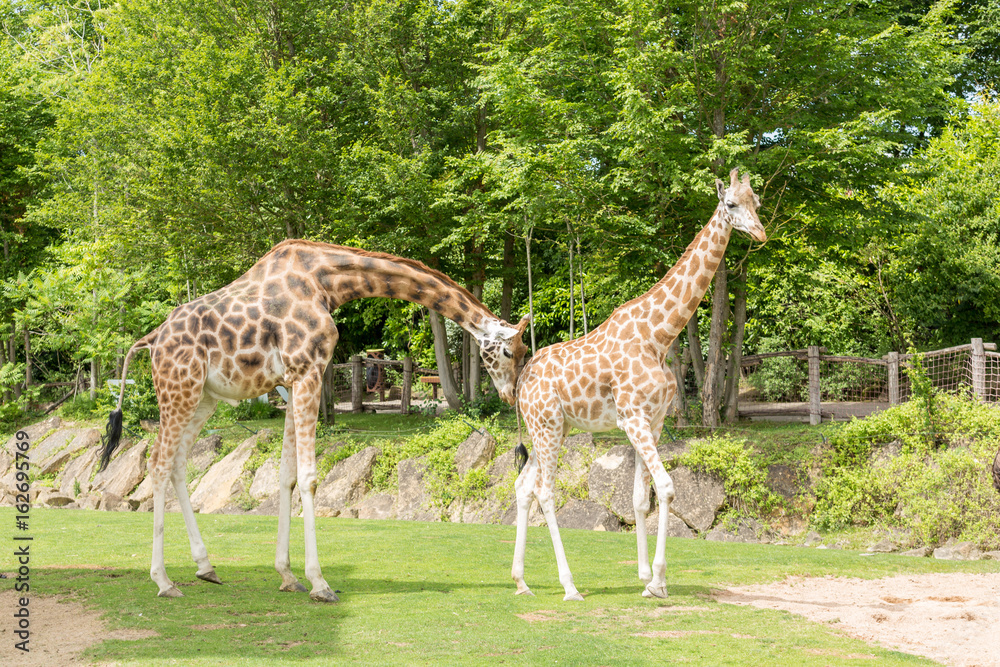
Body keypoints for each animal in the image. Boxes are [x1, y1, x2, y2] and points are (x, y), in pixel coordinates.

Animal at [100, 240, 530, 602]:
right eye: (511, 352)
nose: (511, 395)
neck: (326, 282)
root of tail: (152, 339)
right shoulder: (308, 371)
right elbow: (308, 477)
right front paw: (319, 583)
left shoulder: (292, 380)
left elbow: (287, 475)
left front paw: (287, 575)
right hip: (179, 389)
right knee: (157, 463)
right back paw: (164, 581)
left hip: (203, 397)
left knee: (176, 463)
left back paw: (206, 567)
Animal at [511, 169, 766, 600]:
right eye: (731, 203)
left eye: (757, 202)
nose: (761, 233)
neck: (659, 336)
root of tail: (520, 382)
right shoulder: (633, 418)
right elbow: (665, 487)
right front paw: (658, 582)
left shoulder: (654, 421)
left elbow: (639, 499)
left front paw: (647, 576)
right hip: (546, 427)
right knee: (545, 491)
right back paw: (569, 586)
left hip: (552, 428)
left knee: (523, 486)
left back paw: (521, 581)